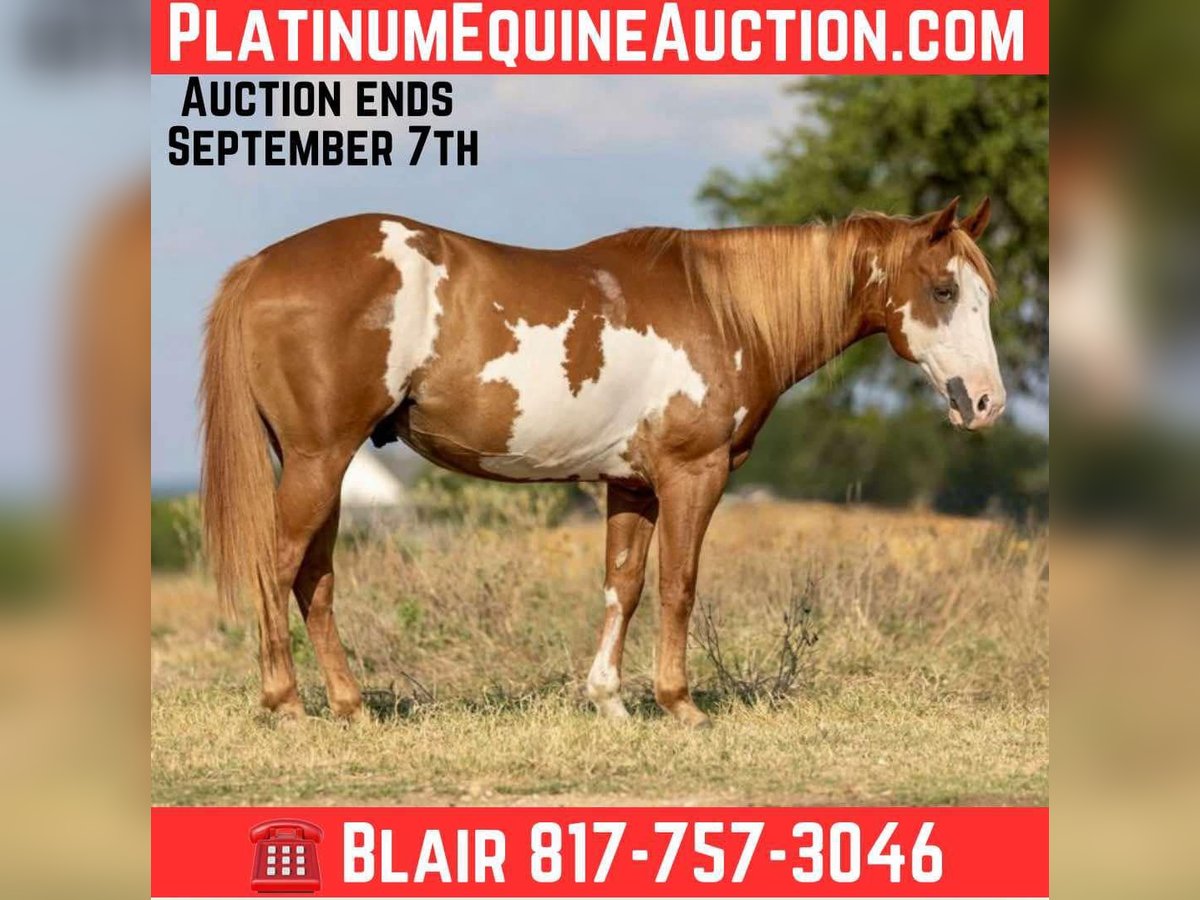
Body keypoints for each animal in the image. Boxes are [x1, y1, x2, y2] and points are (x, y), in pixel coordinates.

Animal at [200, 196, 1003, 728]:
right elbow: (679, 585)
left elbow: (624, 587)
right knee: (278, 567)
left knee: (315, 579)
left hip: (320, 465)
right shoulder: (692, 475)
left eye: (984, 296)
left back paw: (351, 706)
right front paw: (680, 704)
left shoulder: (631, 486)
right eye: (943, 290)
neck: (725, 308)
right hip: (317, 459)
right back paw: (286, 703)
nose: (986, 403)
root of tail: (262, 266)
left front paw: (610, 700)